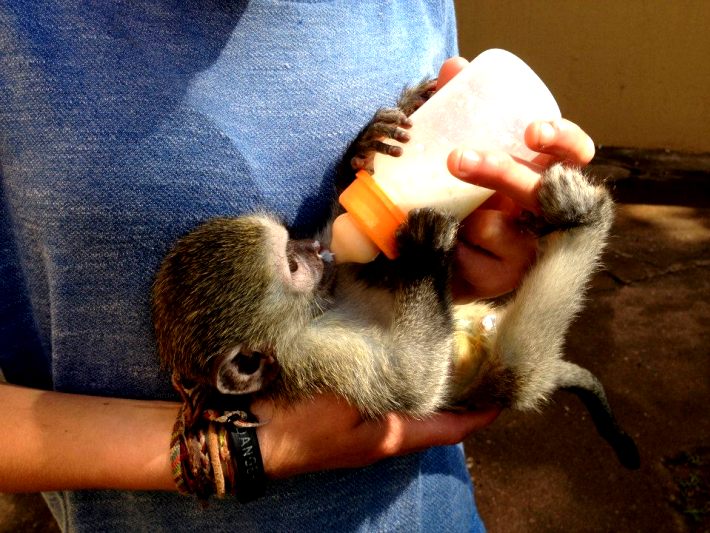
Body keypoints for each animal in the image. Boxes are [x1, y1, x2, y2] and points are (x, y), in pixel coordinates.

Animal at [153, 79, 644, 466]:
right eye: (292, 264)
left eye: (294, 243)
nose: (314, 248)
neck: (314, 312)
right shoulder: (313, 358)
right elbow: (411, 385)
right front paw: (424, 254)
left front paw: (366, 149)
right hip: (510, 372)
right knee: (515, 366)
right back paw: (586, 221)